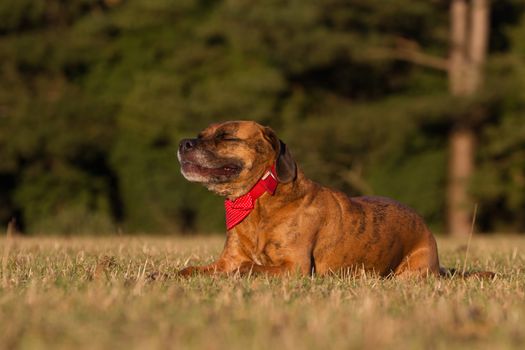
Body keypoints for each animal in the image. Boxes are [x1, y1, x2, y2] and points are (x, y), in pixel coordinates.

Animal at [177, 121, 458, 278]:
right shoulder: (227, 260)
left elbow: (246, 268)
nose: (183, 143)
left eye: (227, 137)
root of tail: (424, 226)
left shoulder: (295, 267)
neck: (257, 202)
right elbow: (190, 270)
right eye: (201, 135)